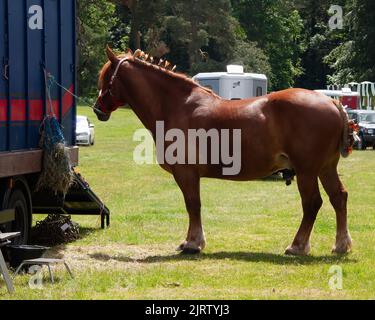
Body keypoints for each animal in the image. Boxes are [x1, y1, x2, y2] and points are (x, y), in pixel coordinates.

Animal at [94, 47, 356, 256]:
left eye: (106, 77)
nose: (97, 109)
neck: (177, 106)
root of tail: (332, 102)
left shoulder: (186, 173)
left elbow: (193, 205)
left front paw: (193, 243)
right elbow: (194, 205)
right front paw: (193, 241)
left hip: (306, 171)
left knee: (312, 203)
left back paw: (298, 246)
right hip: (325, 168)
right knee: (339, 197)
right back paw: (341, 245)